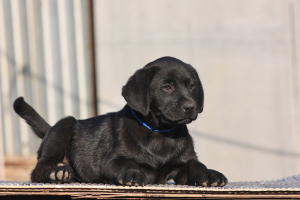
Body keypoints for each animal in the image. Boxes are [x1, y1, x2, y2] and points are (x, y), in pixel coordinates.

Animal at [12, 56, 226, 188]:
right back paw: (56, 172)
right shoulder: (111, 161)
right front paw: (133, 173)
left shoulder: (184, 164)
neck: (161, 133)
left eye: (192, 86)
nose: (190, 107)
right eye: (167, 87)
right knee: (40, 167)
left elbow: (196, 166)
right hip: (64, 125)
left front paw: (210, 174)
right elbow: (126, 163)